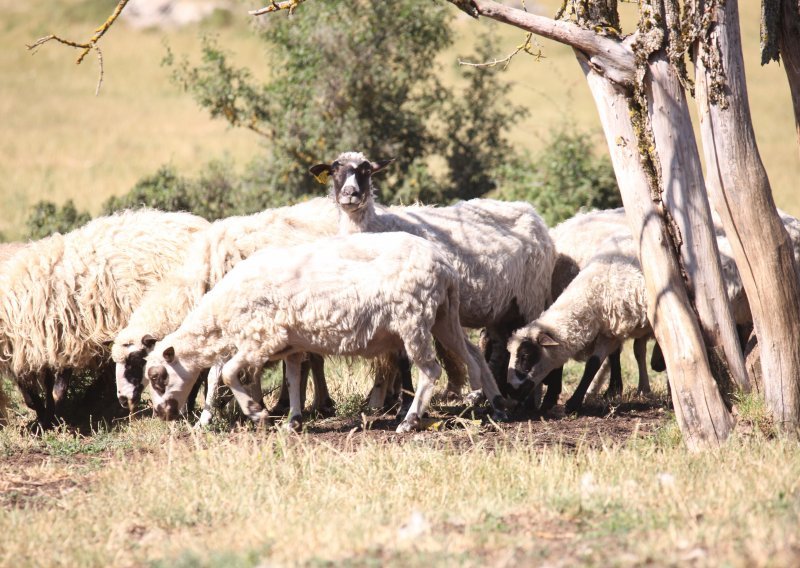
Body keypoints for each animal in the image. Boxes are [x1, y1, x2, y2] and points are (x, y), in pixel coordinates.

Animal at [0, 211, 209, 428]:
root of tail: (199, 223)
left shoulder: (65, 339)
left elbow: (56, 389)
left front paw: (54, 418)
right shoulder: (38, 348)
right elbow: (35, 392)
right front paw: (44, 419)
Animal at [111, 199, 340, 418]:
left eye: (135, 360)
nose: (122, 400)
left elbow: (217, 375)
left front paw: (209, 417)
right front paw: (253, 406)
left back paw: (318, 405)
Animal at [144, 231, 506, 430]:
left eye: (158, 377)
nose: (162, 414)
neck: (221, 314)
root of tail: (443, 264)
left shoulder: (260, 340)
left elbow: (232, 373)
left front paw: (258, 414)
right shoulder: (288, 345)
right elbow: (292, 380)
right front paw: (292, 422)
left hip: (413, 321)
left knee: (430, 370)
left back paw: (409, 421)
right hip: (444, 315)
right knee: (473, 354)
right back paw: (493, 402)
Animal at [310, 151, 552, 400]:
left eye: (366, 171)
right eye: (334, 170)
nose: (350, 194)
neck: (376, 227)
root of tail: (532, 212)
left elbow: (403, 359)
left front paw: (403, 400)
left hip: (531, 298)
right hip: (502, 307)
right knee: (501, 349)